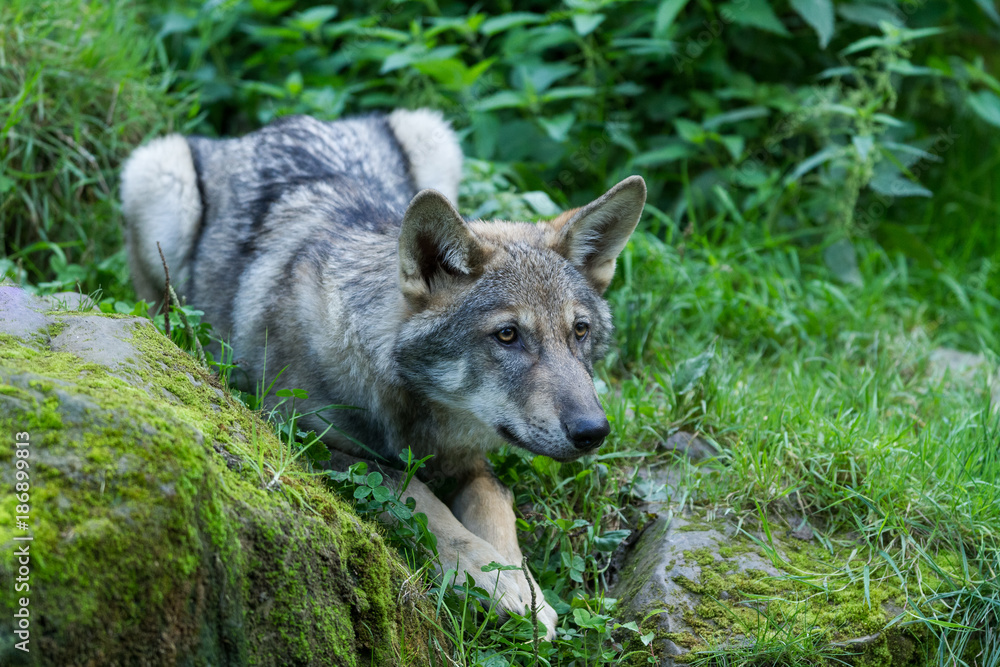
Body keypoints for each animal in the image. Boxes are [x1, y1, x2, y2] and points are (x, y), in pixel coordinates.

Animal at [120, 109, 646, 639]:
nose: (593, 432)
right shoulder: (304, 440)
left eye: (579, 330)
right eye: (507, 335)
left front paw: (523, 586)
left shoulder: (470, 456)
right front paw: (493, 579)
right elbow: (412, 492)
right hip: (154, 174)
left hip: (432, 136)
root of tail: (286, 121)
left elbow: (494, 503)